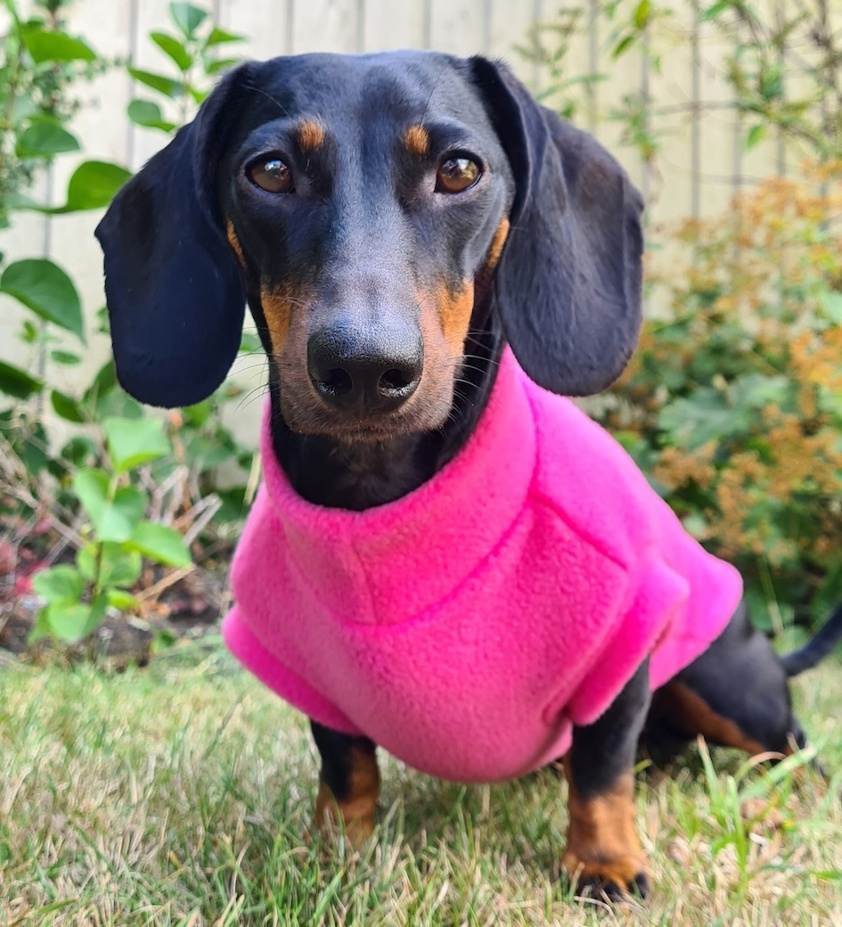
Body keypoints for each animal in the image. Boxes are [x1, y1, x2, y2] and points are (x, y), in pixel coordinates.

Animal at [93, 50, 840, 900]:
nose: (363, 368)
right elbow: (345, 763)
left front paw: (605, 861)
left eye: (458, 169)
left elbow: (602, 766)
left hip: (727, 680)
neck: (384, 505)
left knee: (789, 743)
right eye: (271, 170)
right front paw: (335, 851)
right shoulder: (315, 676)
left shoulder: (625, 632)